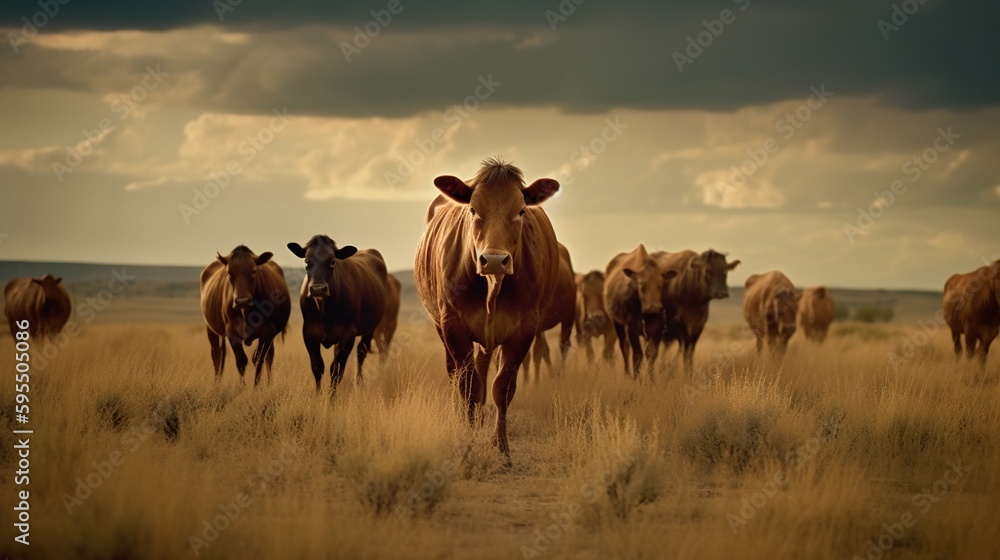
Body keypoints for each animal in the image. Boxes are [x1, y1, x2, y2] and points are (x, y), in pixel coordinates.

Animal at [197, 247, 288, 388]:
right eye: (229, 273)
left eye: (254, 271)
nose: (242, 301)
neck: (247, 311)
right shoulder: (232, 331)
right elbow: (241, 361)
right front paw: (242, 387)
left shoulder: (268, 332)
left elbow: (259, 359)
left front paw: (257, 388)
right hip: (211, 329)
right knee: (217, 355)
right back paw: (217, 383)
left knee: (269, 356)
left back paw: (268, 384)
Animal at [290, 236, 390, 394]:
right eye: (307, 261)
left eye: (332, 261)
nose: (318, 289)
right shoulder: (309, 332)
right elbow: (317, 367)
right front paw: (318, 397)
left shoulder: (347, 334)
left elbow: (336, 371)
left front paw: (332, 398)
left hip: (370, 327)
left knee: (361, 352)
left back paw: (358, 384)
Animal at [414, 156, 564, 464]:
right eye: (472, 209)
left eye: (521, 210)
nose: (494, 260)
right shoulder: (452, 324)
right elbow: (468, 387)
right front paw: (467, 439)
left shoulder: (524, 329)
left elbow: (501, 387)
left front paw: (501, 448)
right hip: (441, 327)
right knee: (456, 375)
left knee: (483, 372)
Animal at [520, 243, 576, 382]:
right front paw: (525, 383)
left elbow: (537, 353)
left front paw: (535, 384)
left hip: (568, 316)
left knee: (563, 346)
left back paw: (561, 375)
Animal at [600, 243, 680, 378]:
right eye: (642, 284)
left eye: (661, 285)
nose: (653, 308)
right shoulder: (631, 327)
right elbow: (637, 355)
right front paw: (637, 379)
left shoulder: (657, 327)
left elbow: (651, 354)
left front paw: (651, 380)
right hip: (618, 324)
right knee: (625, 348)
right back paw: (627, 374)